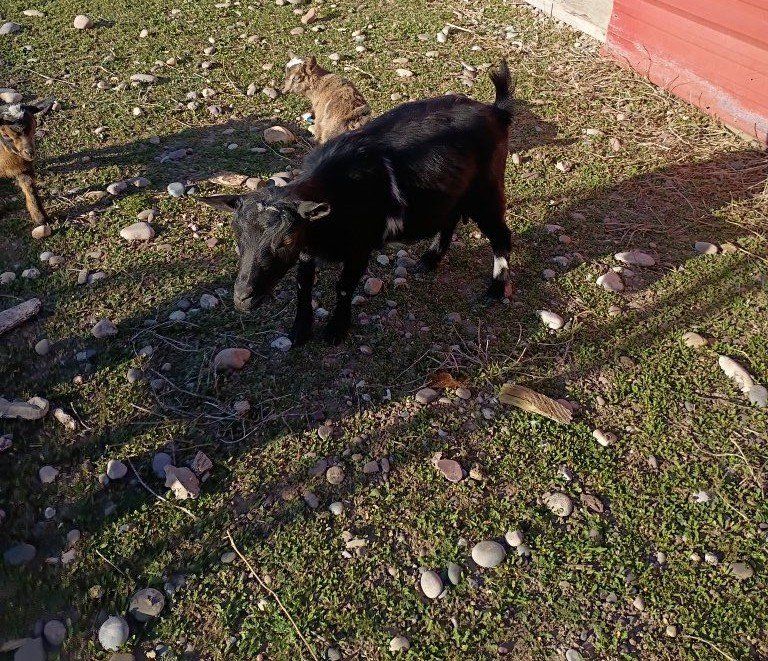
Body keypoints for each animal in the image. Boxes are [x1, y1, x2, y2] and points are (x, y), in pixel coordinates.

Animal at [203, 60, 515, 346]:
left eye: (285, 240)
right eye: (237, 236)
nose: (243, 297)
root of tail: (495, 110)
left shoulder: (359, 246)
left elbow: (344, 287)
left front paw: (336, 330)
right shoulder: (308, 248)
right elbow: (303, 285)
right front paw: (300, 330)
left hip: (487, 189)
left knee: (501, 235)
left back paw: (496, 288)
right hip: (453, 191)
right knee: (449, 219)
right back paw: (430, 259)